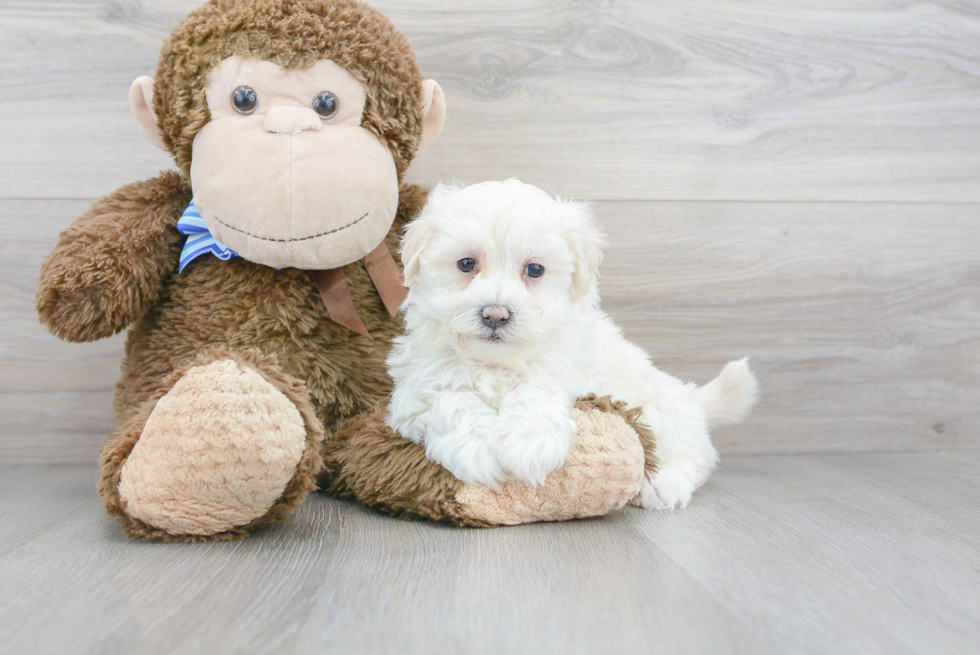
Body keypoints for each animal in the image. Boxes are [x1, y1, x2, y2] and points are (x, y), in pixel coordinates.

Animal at [384, 181, 756, 512]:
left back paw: (663, 484)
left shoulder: (568, 371)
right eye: (466, 264)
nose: (495, 314)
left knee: (692, 456)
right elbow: (452, 400)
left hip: (662, 410)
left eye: (535, 269)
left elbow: (537, 390)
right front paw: (477, 446)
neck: (498, 364)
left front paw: (530, 441)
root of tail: (691, 399)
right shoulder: (416, 387)